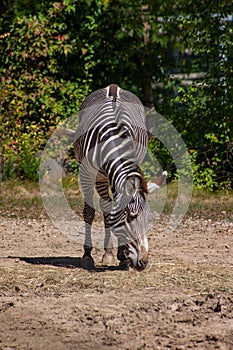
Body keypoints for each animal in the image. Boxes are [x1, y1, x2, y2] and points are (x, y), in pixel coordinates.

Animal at [74, 84, 151, 270]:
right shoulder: (87, 174)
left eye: (148, 217)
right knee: (105, 205)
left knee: (107, 205)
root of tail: (113, 86)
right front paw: (87, 255)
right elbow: (89, 212)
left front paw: (122, 256)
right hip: (100, 177)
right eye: (130, 217)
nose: (143, 263)